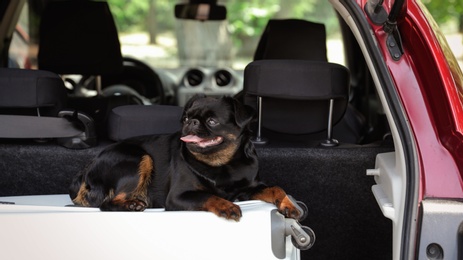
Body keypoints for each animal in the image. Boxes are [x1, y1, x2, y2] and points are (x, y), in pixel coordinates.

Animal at [67, 95, 302, 221]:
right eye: (187, 117)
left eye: (212, 121)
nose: (192, 122)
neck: (223, 163)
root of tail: (86, 170)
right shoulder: (179, 197)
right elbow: (208, 196)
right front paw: (226, 206)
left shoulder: (249, 189)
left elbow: (276, 188)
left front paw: (289, 205)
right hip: (140, 158)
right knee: (106, 204)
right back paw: (132, 205)